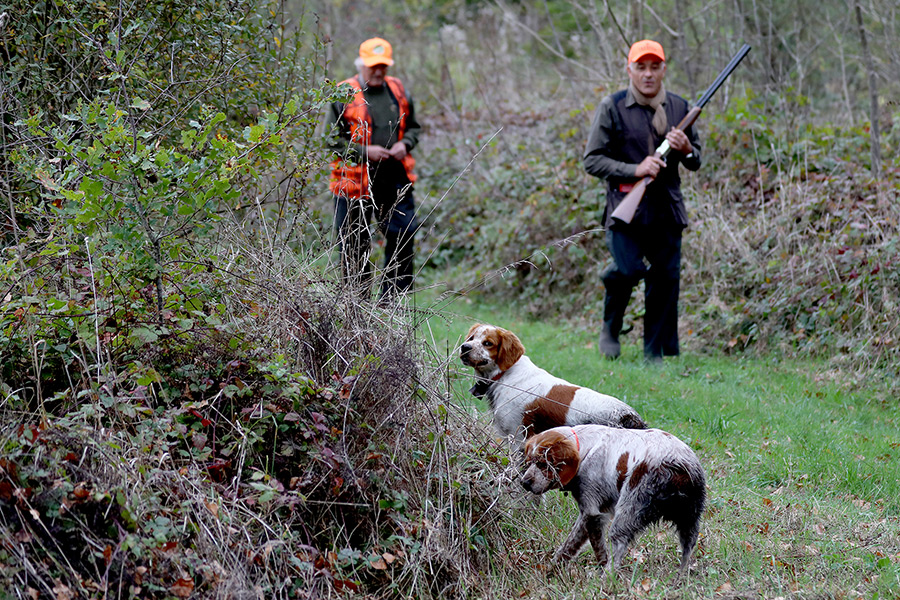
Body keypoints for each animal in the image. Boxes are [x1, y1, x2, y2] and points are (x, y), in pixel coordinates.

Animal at [458, 324, 648, 440]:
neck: (505, 375)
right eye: (471, 338)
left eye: (488, 343)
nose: (464, 347)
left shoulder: (517, 434)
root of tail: (632, 418)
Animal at [524, 424, 708, 580]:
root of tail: (679, 466)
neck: (584, 449)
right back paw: (679, 579)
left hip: (627, 512)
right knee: (687, 550)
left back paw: (606, 578)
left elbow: (598, 551)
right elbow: (569, 546)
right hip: (689, 520)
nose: (524, 482)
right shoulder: (593, 513)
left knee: (618, 548)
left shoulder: (592, 512)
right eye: (529, 462)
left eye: (543, 463)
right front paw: (552, 570)